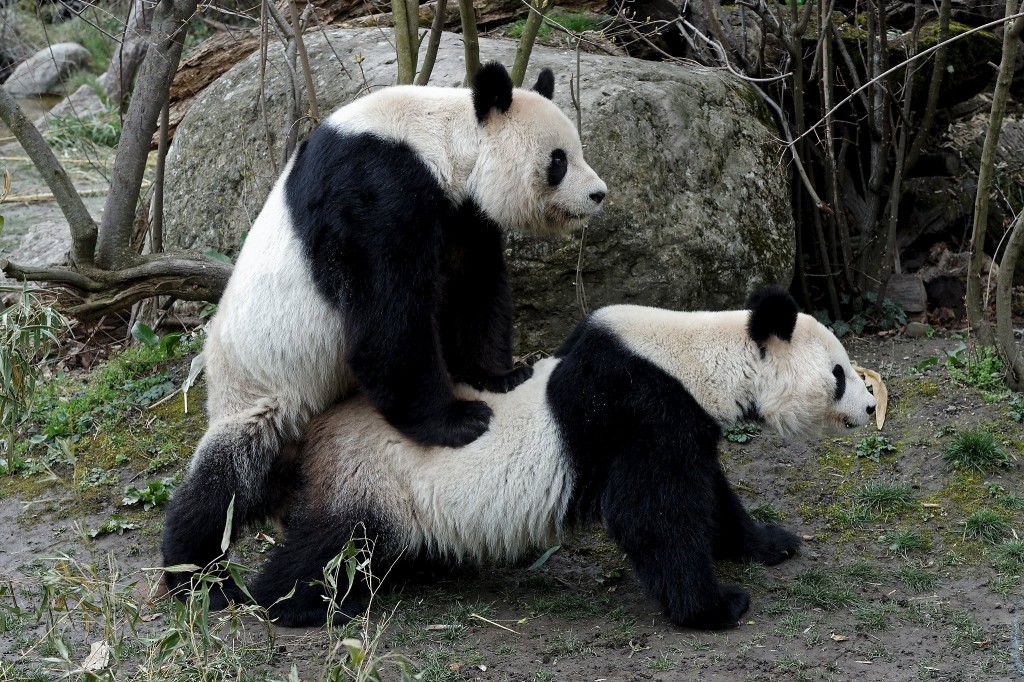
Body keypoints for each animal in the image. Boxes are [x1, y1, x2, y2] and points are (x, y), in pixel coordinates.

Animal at [161, 63, 608, 591]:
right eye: (558, 160)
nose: (598, 194)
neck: (440, 137)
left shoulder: (462, 213)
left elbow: (473, 287)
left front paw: (501, 375)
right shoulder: (376, 192)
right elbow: (389, 318)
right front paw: (458, 421)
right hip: (262, 391)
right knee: (225, 482)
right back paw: (195, 573)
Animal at [210, 287, 877, 629]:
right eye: (839, 374)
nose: (872, 406)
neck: (697, 358)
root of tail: (316, 431)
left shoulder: (678, 418)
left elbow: (712, 492)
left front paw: (770, 543)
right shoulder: (638, 407)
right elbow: (652, 512)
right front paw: (714, 607)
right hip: (372, 478)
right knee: (332, 541)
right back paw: (292, 603)